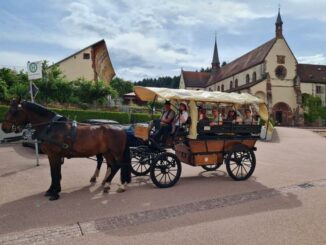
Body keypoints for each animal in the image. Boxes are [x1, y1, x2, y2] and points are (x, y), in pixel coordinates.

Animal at [1, 99, 131, 201]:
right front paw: (51, 190)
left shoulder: (54, 155)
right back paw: (107, 184)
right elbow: (54, 173)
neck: (51, 126)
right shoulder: (52, 156)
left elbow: (55, 173)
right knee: (112, 165)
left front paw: (55, 193)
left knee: (119, 165)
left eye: (13, 111)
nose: (4, 127)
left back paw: (119, 185)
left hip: (116, 152)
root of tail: (122, 129)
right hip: (107, 152)